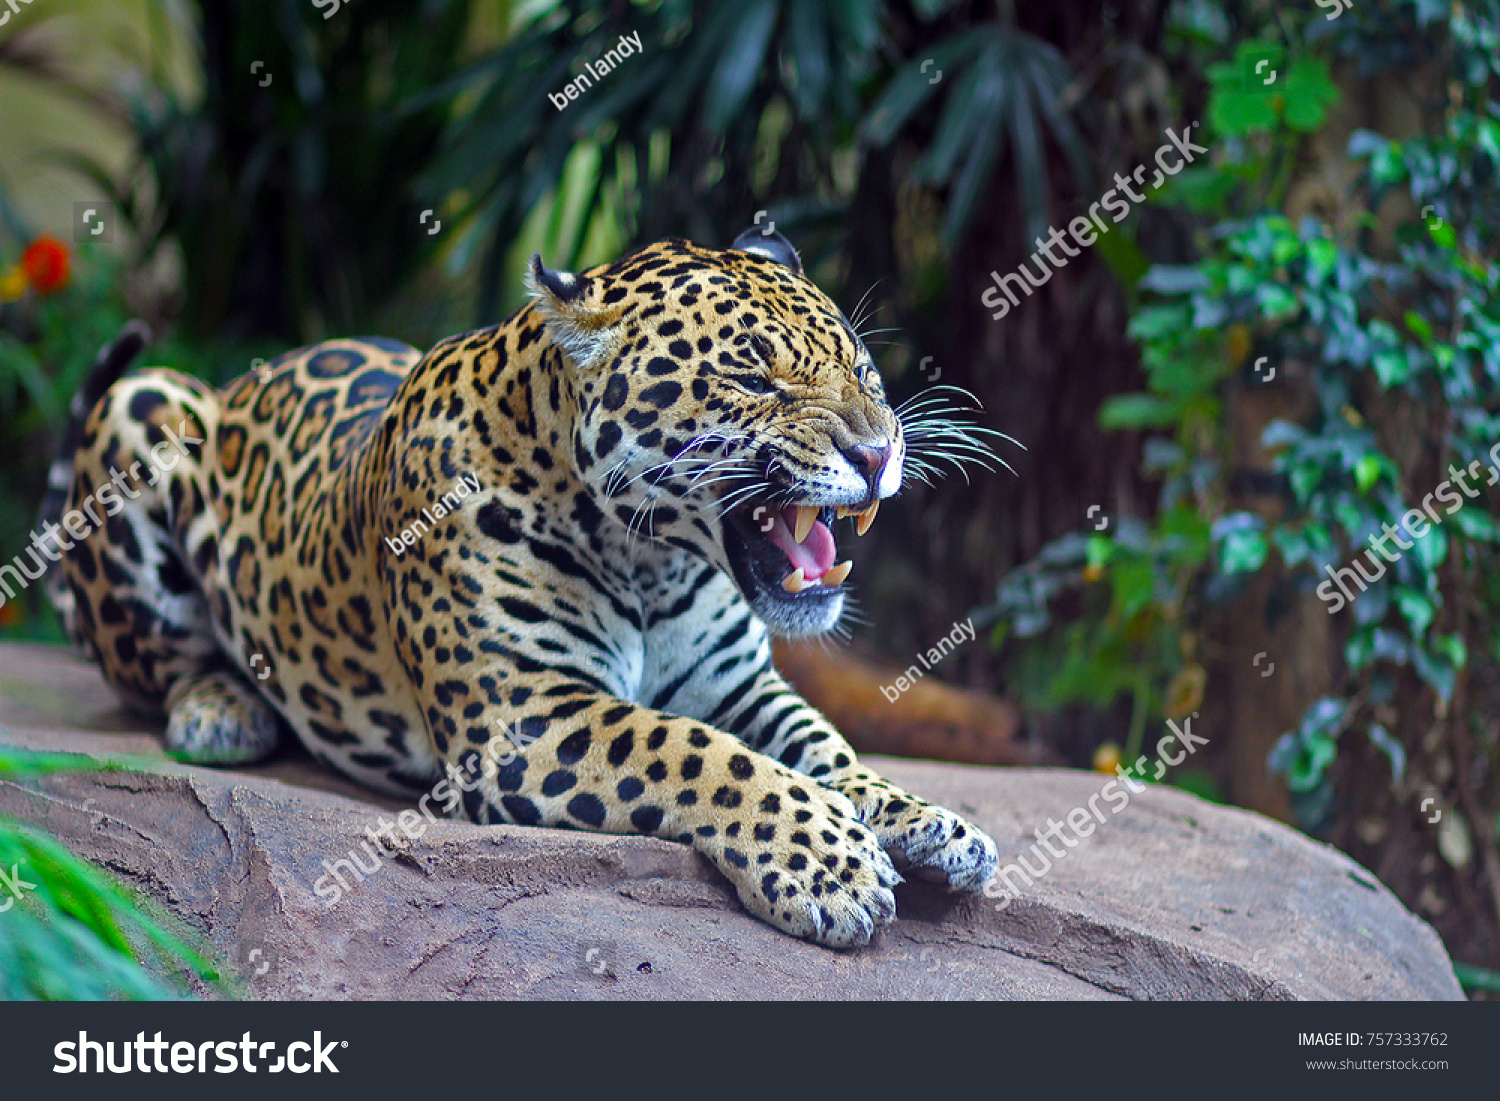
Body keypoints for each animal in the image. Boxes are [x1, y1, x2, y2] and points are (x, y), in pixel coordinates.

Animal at [40, 227, 1000, 948]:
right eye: (752, 377)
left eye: (864, 372)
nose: (878, 453)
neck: (654, 563)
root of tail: (239, 380)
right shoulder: (520, 712)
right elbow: (699, 752)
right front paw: (831, 864)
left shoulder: (739, 686)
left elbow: (824, 749)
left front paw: (925, 820)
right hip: (143, 402)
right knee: (155, 665)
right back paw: (220, 708)